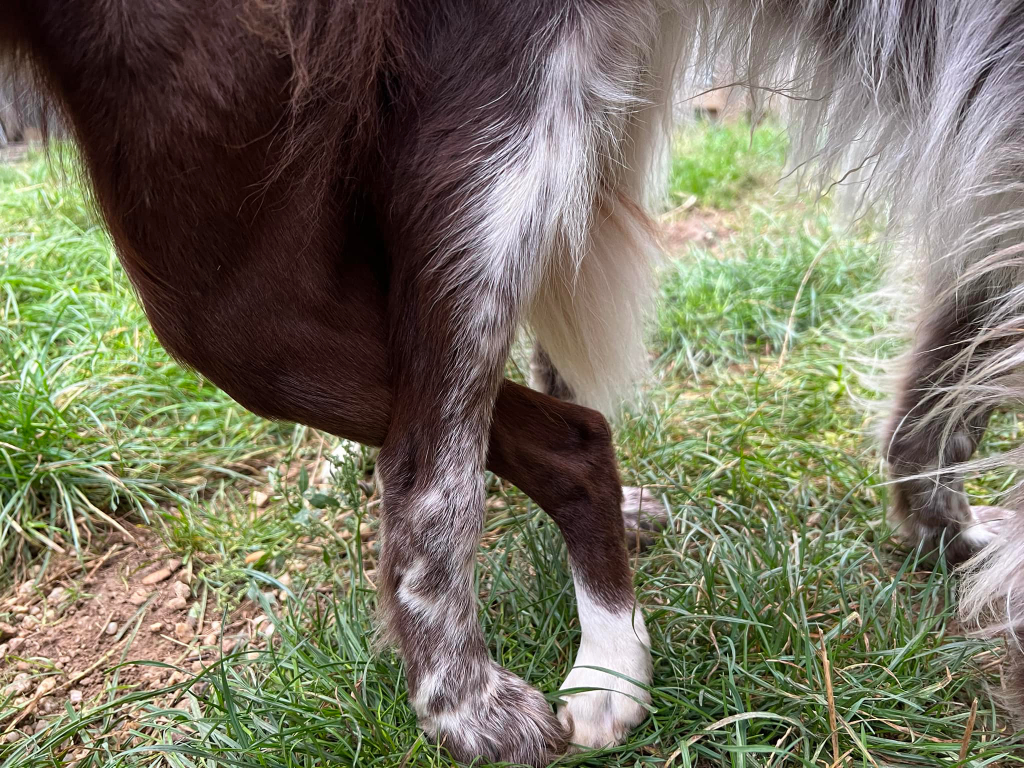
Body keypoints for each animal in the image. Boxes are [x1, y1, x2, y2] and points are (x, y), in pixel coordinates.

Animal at [3, 1, 1024, 764]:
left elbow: (950, 383)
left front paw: (953, 536)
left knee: (527, 419)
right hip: (272, 254)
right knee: (468, 462)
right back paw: (513, 695)